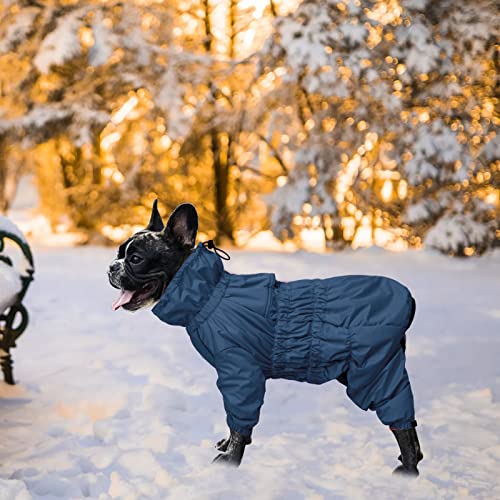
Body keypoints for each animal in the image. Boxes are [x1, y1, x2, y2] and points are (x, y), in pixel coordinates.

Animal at [108, 201, 422, 474]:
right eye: (118, 254)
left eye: (135, 259)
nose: (112, 267)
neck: (209, 295)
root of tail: (409, 299)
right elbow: (235, 423)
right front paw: (230, 445)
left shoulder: (240, 373)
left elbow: (239, 420)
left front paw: (231, 460)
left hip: (372, 369)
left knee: (400, 420)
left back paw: (408, 468)